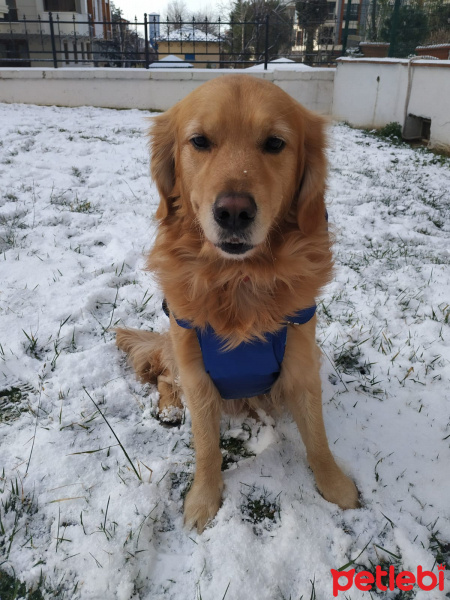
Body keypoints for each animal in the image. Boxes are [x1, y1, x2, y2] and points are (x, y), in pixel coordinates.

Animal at [116, 74, 358, 528]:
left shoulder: (302, 361)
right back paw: (171, 409)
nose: (233, 211)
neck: (239, 279)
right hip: (175, 353)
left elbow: (317, 437)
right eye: (199, 141)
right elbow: (207, 446)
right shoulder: (196, 370)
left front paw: (335, 486)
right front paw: (203, 500)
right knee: (165, 377)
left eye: (275, 143)